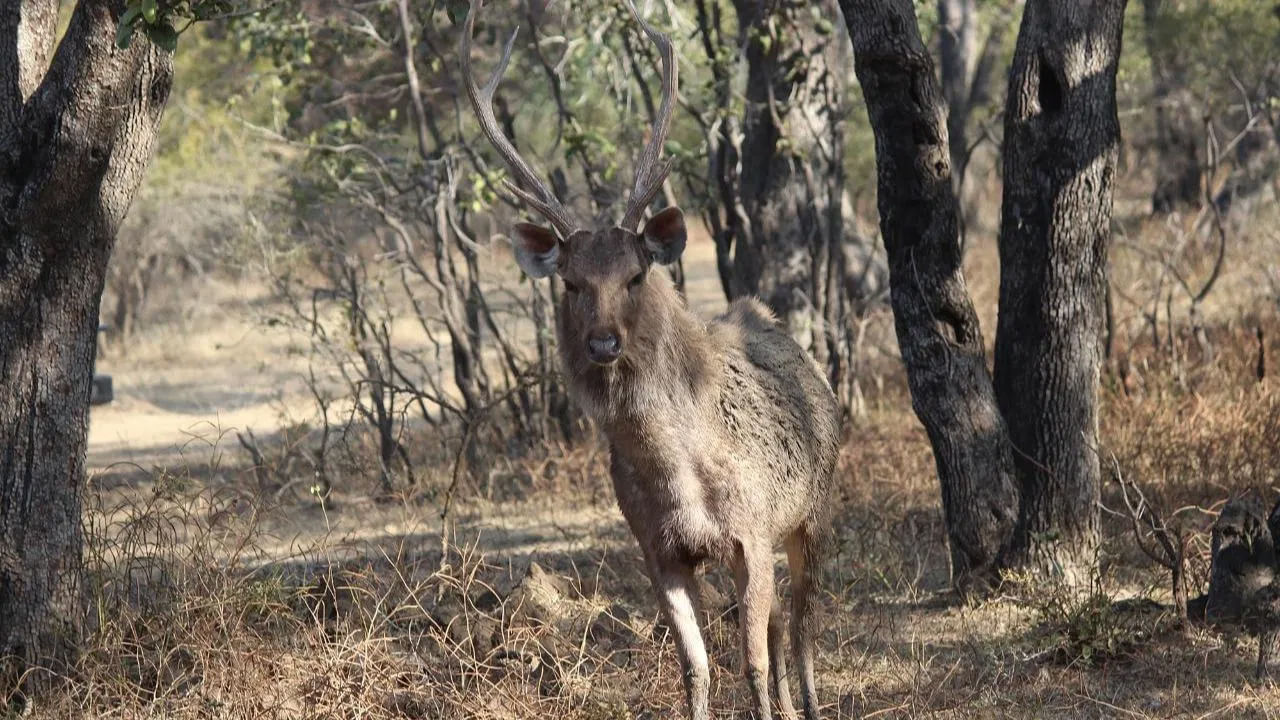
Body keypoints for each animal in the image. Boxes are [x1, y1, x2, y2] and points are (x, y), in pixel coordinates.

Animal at [460, 2, 839, 712]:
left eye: (635, 275)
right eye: (571, 283)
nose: (603, 342)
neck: (680, 480)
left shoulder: (751, 529)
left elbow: (749, 662)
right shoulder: (657, 550)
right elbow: (697, 667)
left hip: (812, 509)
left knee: (804, 622)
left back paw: (808, 701)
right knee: (782, 621)